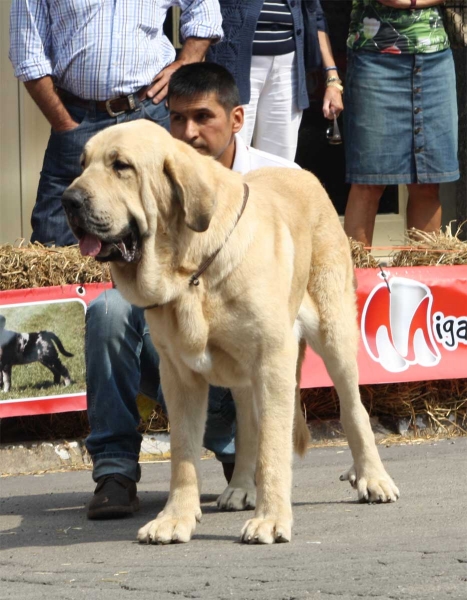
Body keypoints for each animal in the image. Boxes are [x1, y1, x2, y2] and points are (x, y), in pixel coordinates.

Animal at [61, 120, 398, 544]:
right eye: (82, 164)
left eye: (121, 165)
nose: (68, 199)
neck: (191, 270)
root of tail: (305, 175)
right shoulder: (179, 376)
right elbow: (184, 453)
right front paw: (176, 517)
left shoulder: (273, 360)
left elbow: (274, 447)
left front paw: (270, 518)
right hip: (243, 371)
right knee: (248, 425)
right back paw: (240, 487)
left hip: (333, 333)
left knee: (353, 409)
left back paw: (373, 478)